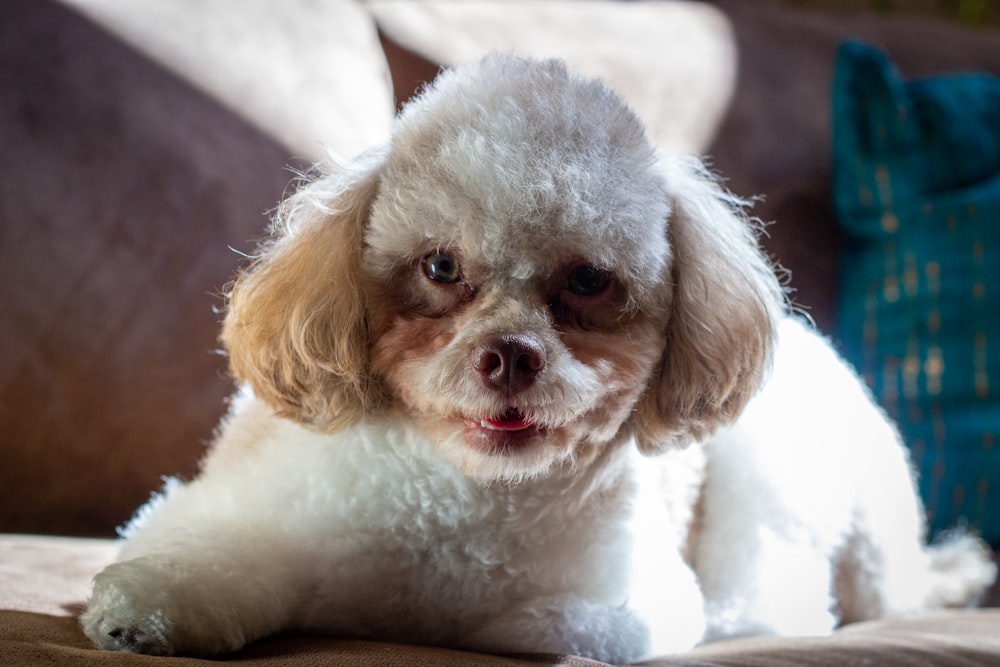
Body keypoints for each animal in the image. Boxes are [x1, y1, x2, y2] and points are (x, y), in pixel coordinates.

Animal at [80, 53, 992, 664]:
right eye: (440, 266)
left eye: (588, 279)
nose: (511, 356)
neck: (462, 497)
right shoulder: (224, 509)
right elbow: (213, 561)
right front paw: (148, 610)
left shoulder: (636, 596)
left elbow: (562, 621)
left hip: (769, 482)